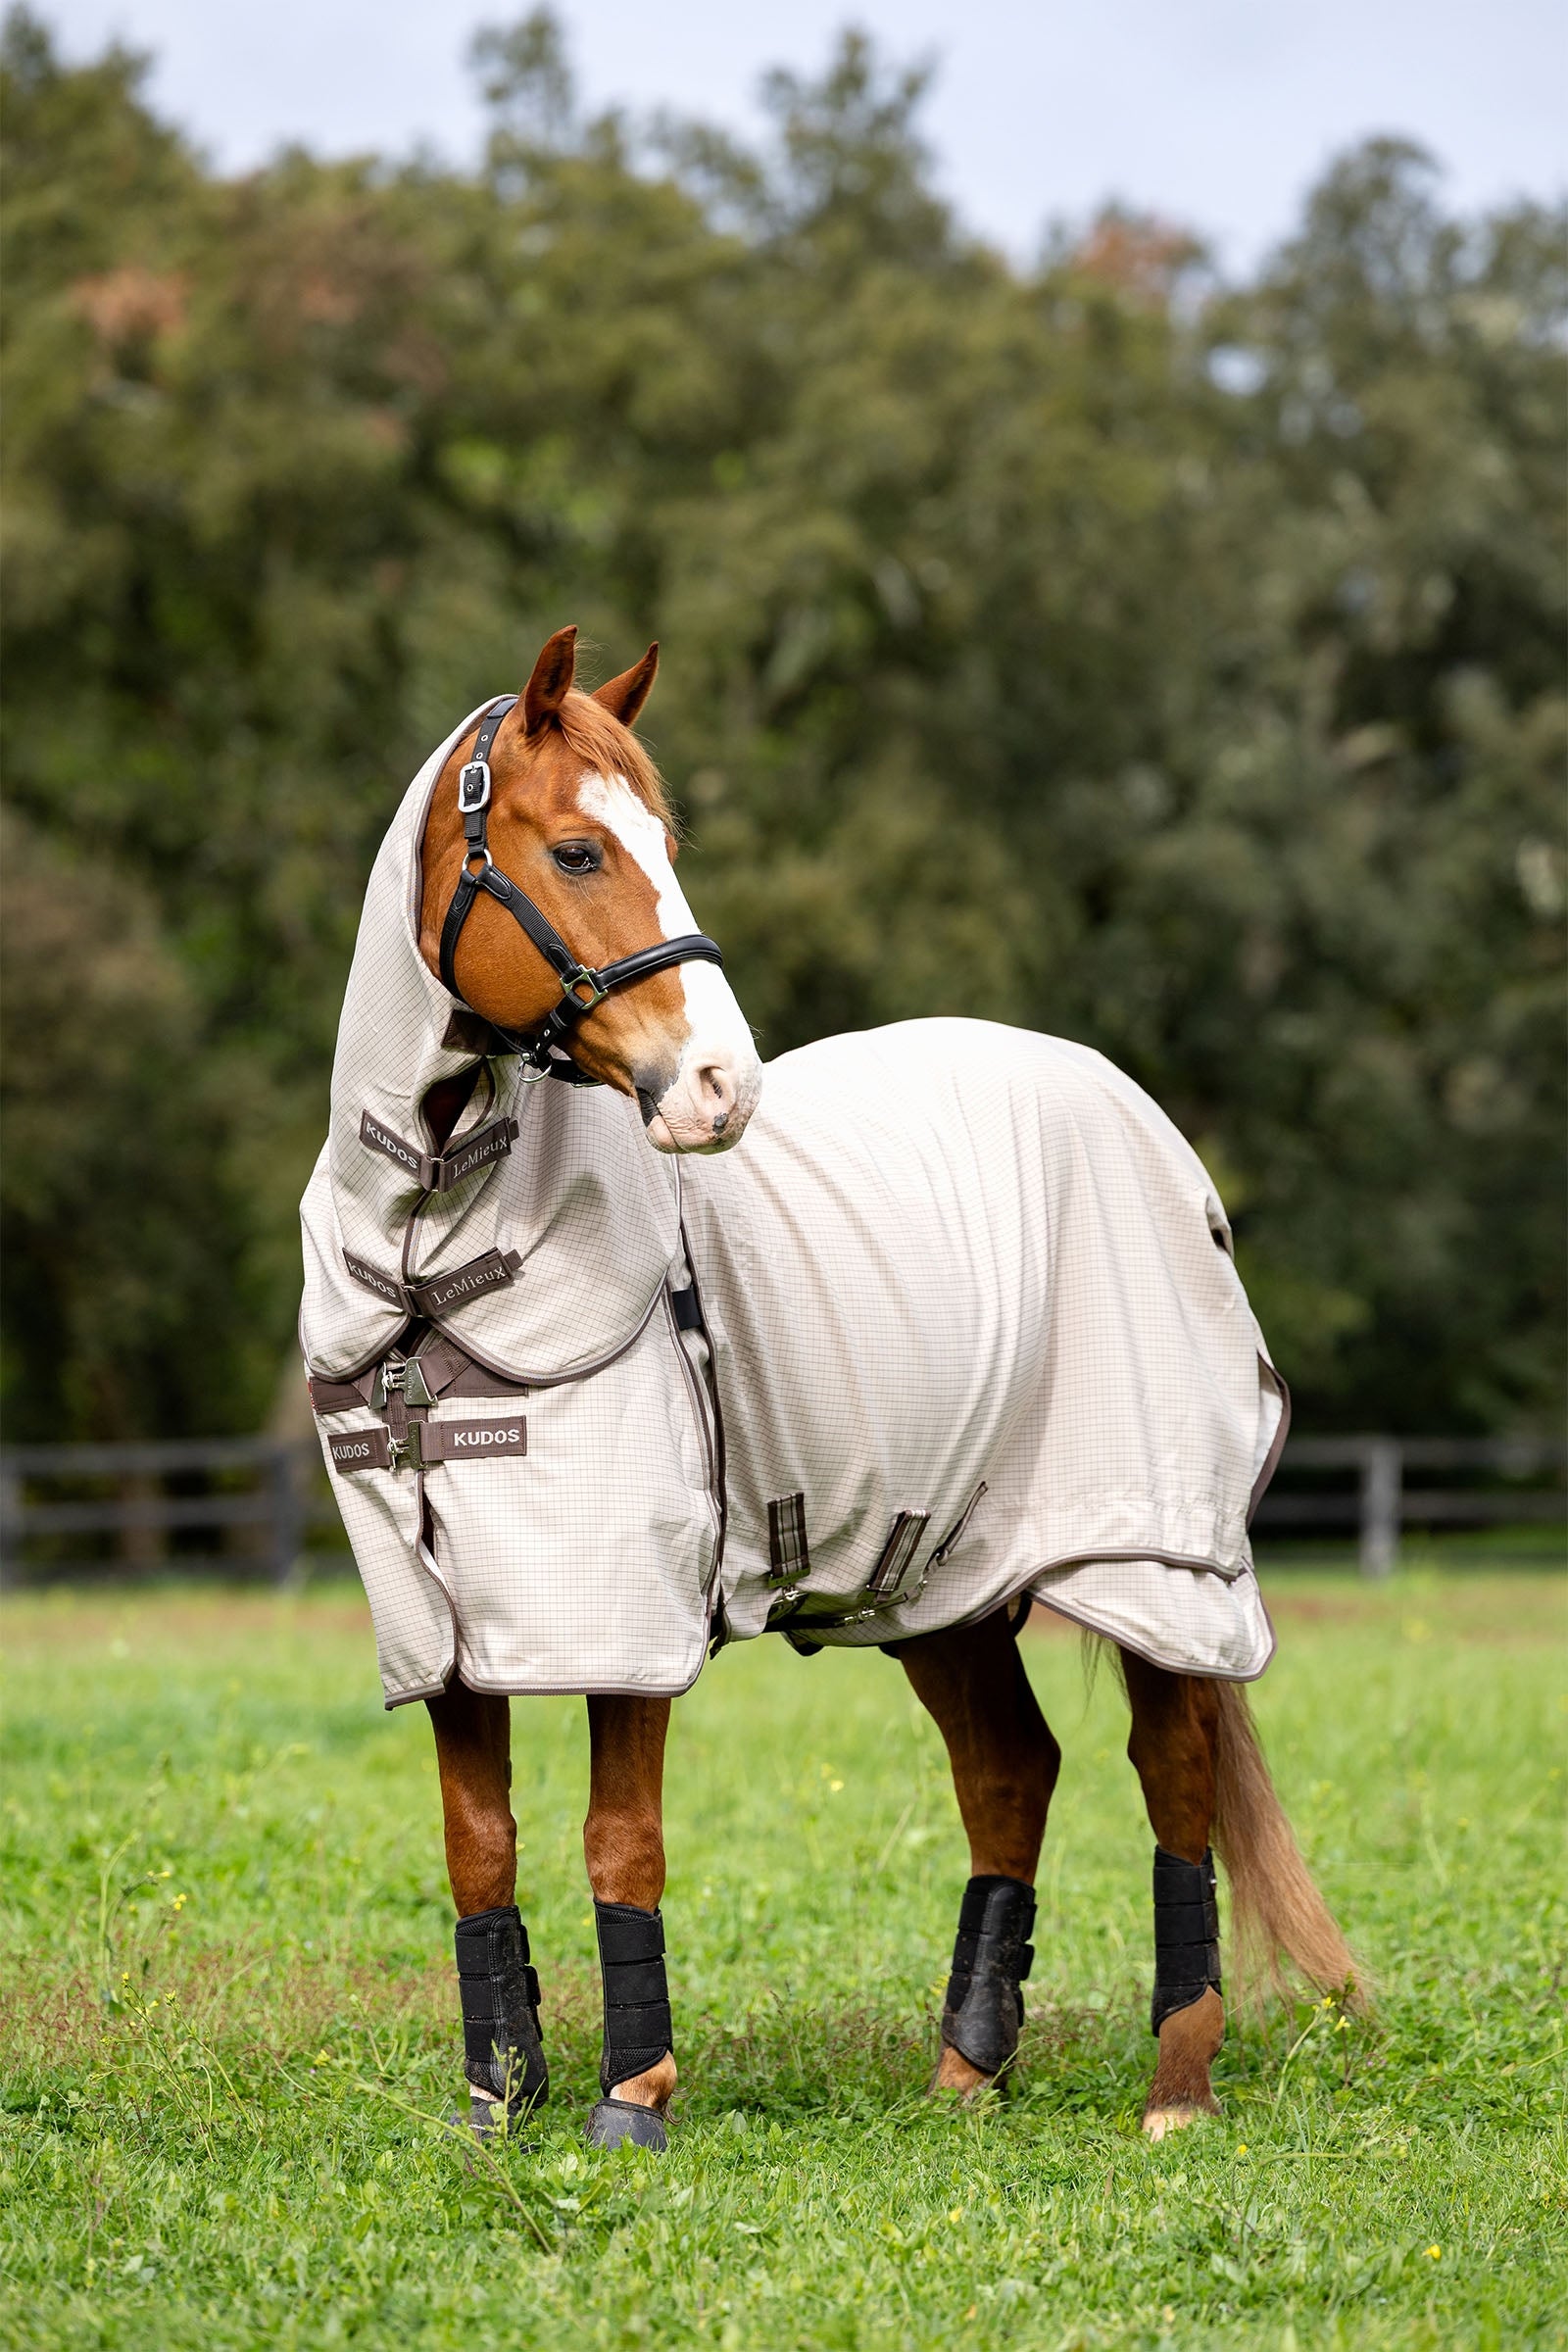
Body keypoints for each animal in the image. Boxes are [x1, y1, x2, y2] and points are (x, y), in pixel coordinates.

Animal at [299, 624, 1361, 2153]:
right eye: (577, 850)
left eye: (663, 841)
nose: (718, 1088)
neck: (425, 1252)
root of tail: (1143, 1121)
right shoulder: (447, 1624)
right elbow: (478, 1848)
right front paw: (499, 2106)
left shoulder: (629, 1607)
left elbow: (620, 1840)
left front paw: (632, 2104)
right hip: (946, 1581)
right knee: (1010, 1770)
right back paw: (966, 2076)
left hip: (1152, 1555)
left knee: (1172, 1772)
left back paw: (1176, 2089)